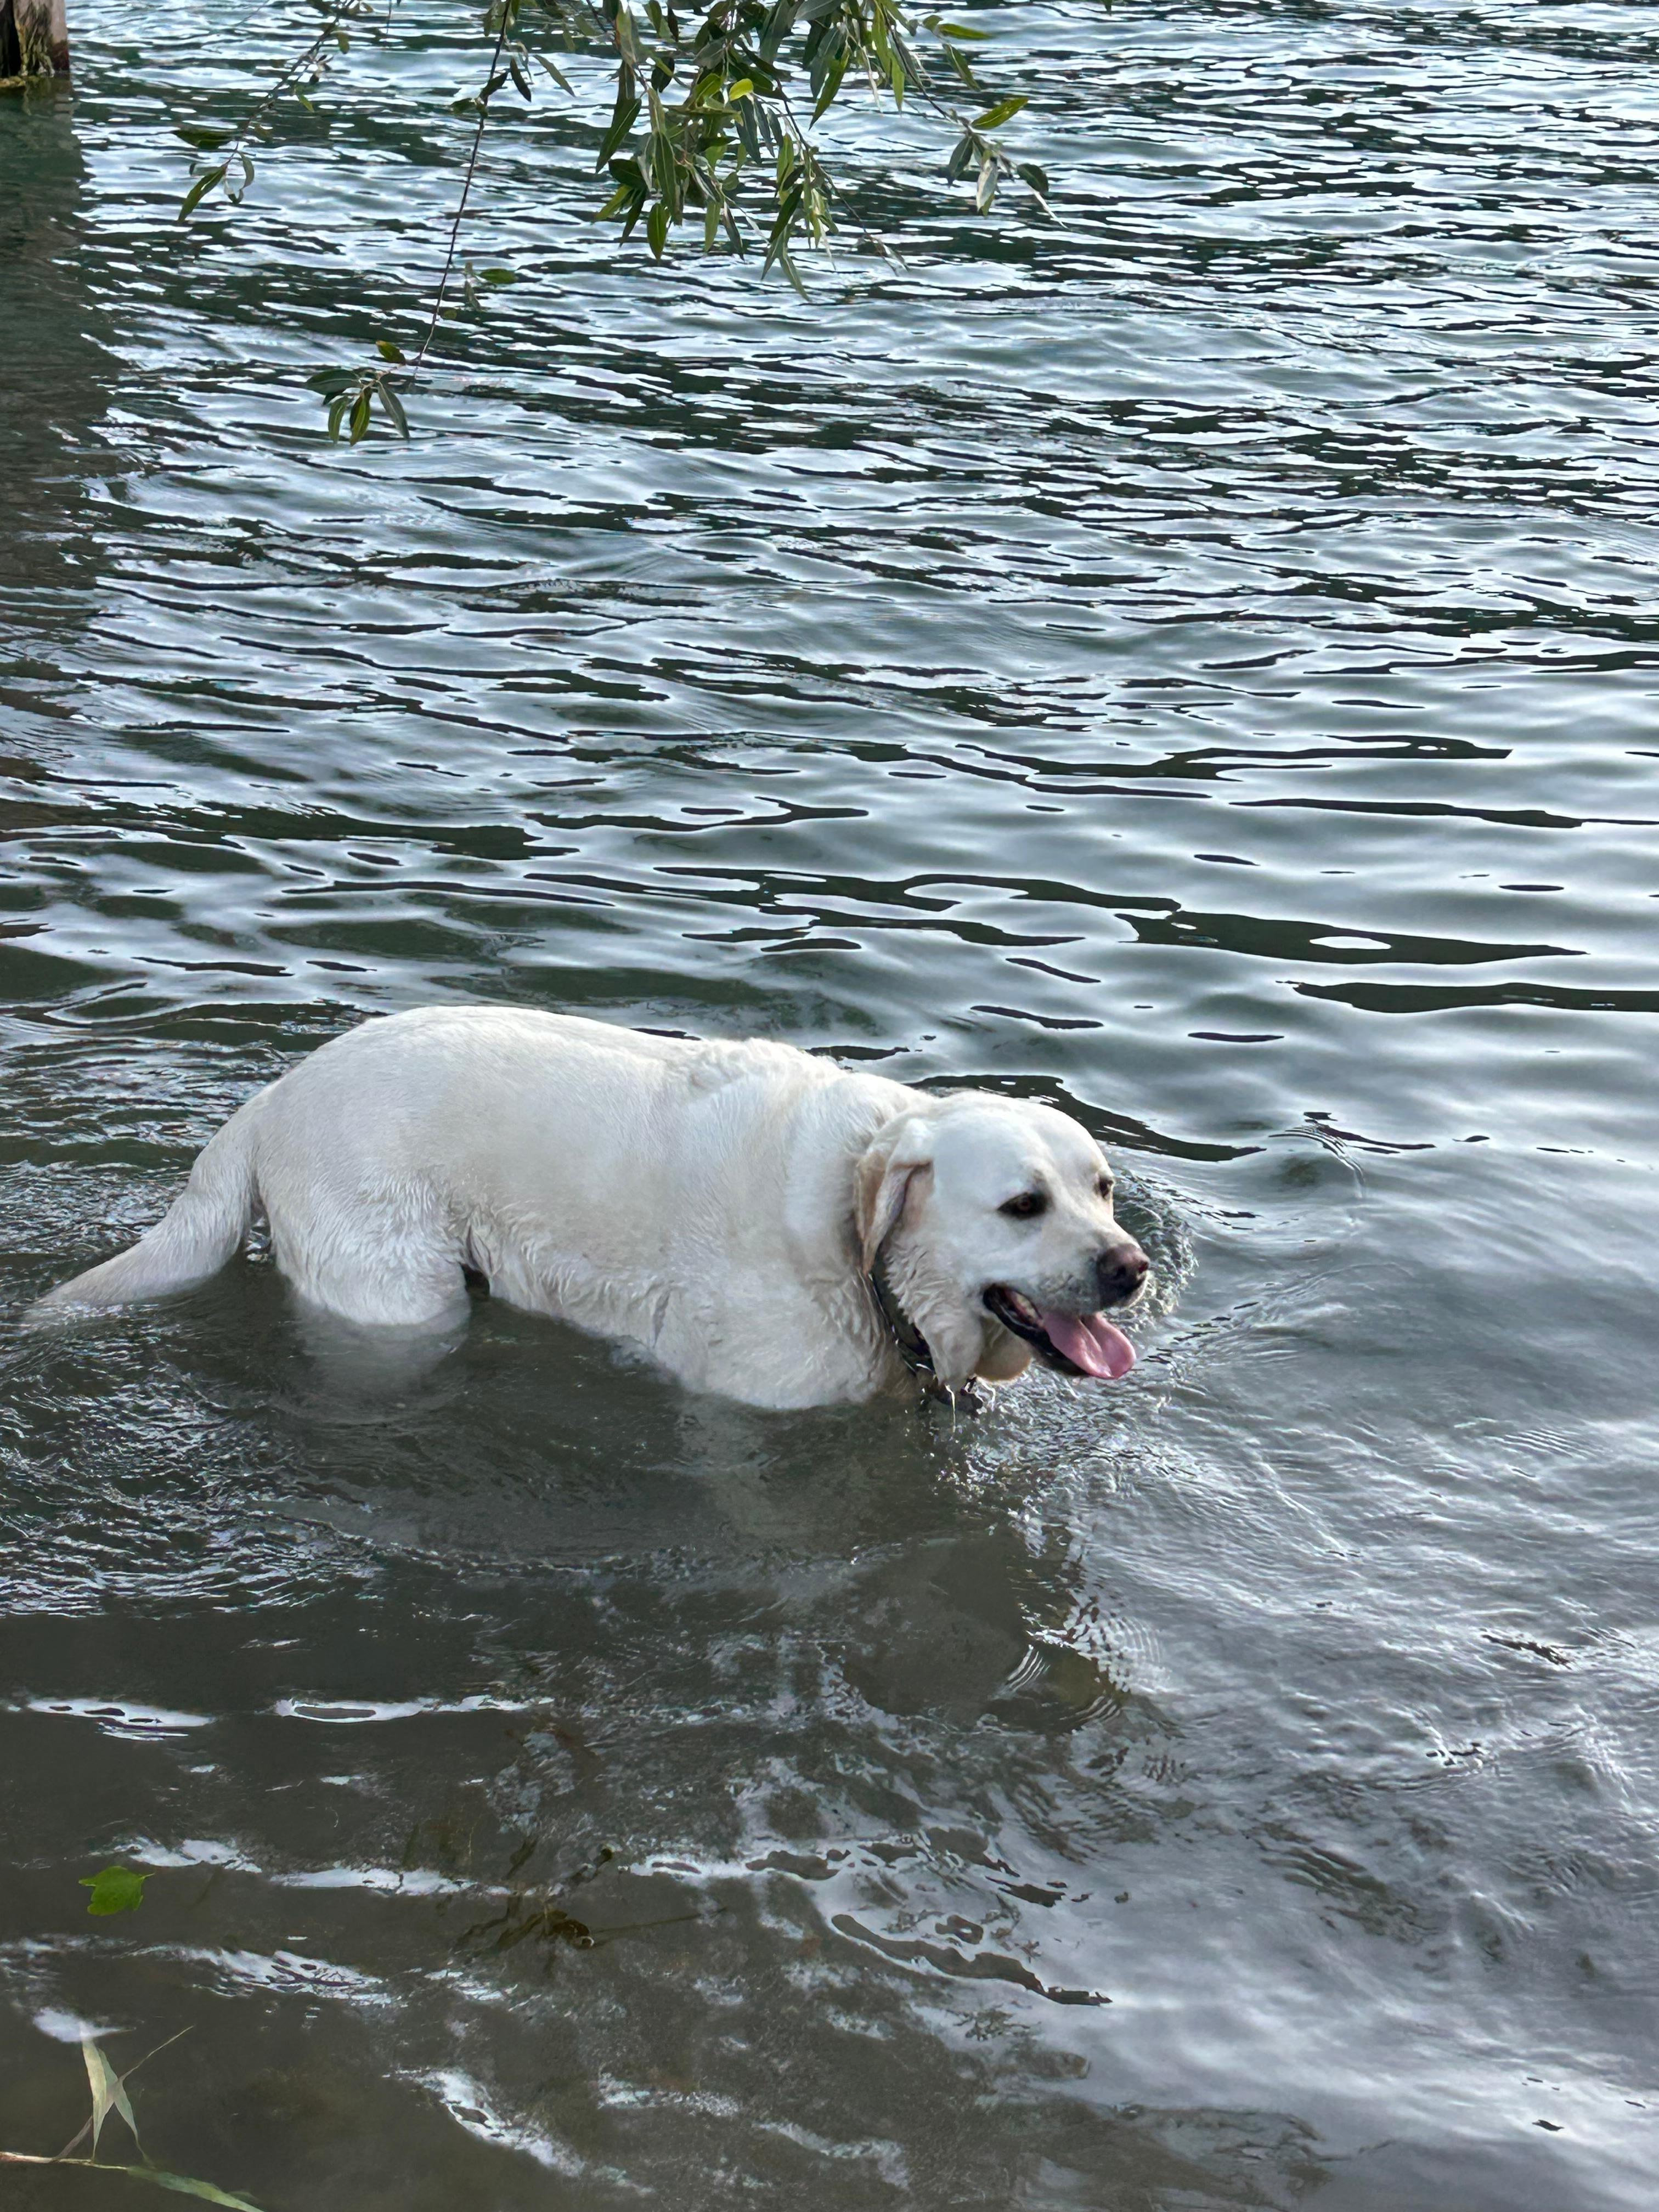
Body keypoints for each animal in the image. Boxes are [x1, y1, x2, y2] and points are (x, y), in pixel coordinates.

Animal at [42, 1013, 1159, 1407]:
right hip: (400, 1295)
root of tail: (271, 1098)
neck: (859, 1244)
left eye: (1102, 1187)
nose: (1131, 1267)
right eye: (1022, 1204)